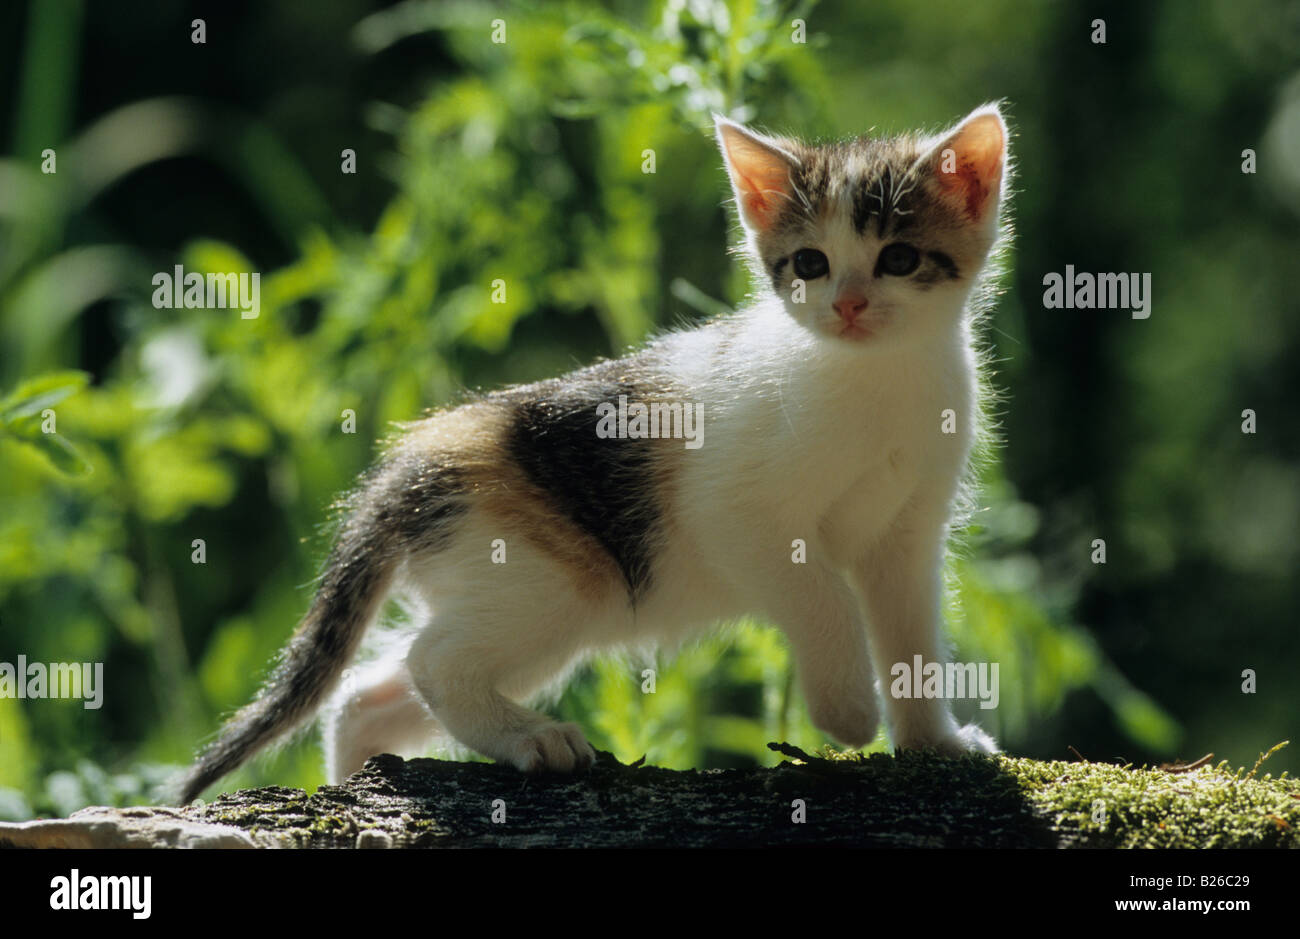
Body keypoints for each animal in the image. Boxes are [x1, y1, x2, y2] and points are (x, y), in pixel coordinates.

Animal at [172, 104, 1008, 806]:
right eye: (810, 263)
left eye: (898, 258)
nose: (849, 305)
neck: (879, 377)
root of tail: (410, 461)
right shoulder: (736, 515)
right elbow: (823, 594)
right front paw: (848, 710)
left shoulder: (908, 534)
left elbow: (912, 635)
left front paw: (935, 742)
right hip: (558, 582)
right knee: (432, 660)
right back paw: (532, 738)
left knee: (367, 693)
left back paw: (359, 776)